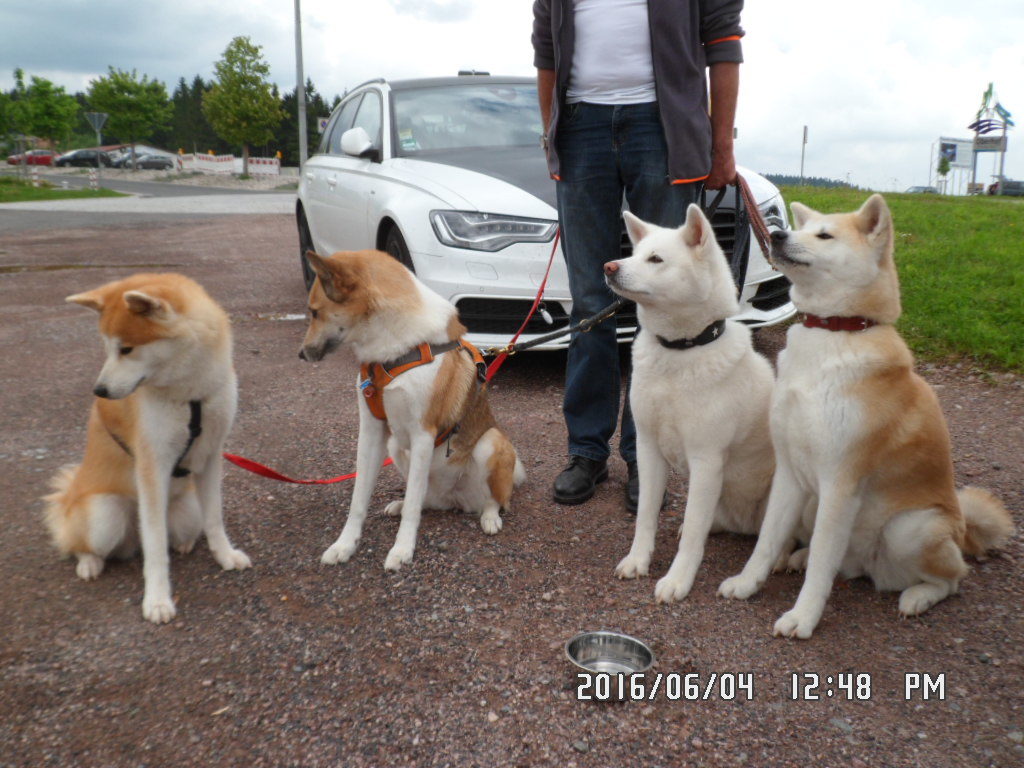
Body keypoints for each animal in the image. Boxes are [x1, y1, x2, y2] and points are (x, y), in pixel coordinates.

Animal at [47, 274, 254, 626]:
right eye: (106, 347)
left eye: (126, 349)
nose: (99, 390)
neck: (190, 394)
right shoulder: (153, 465)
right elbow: (156, 548)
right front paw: (157, 599)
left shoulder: (211, 455)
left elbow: (215, 520)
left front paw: (225, 555)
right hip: (104, 516)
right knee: (81, 543)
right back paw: (89, 562)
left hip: (187, 511)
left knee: (182, 529)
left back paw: (185, 544)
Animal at [296, 247, 520, 573]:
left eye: (314, 312)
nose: (301, 354)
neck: (392, 351)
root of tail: (456, 501)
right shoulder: (372, 432)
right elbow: (359, 500)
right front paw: (344, 546)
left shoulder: (422, 435)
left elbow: (413, 508)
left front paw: (401, 551)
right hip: (396, 447)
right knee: (424, 500)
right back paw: (400, 505)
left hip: (491, 442)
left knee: (494, 498)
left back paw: (489, 517)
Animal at [602, 207, 770, 606]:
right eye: (634, 253)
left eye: (656, 259)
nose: (609, 266)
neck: (680, 351)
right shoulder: (648, 449)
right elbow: (646, 516)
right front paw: (638, 560)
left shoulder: (706, 460)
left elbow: (694, 530)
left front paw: (678, 580)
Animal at [720, 195, 1015, 638]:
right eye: (801, 228)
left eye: (824, 235)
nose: (776, 234)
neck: (833, 332)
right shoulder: (789, 473)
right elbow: (767, 541)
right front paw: (747, 582)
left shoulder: (840, 484)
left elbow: (821, 566)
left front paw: (803, 617)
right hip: (815, 504)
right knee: (842, 564)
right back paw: (799, 558)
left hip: (911, 529)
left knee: (953, 578)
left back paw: (918, 596)